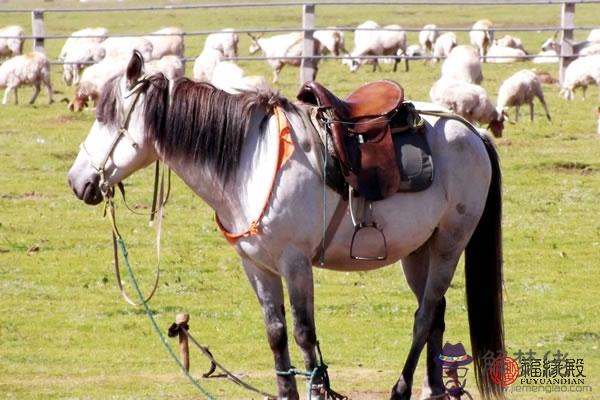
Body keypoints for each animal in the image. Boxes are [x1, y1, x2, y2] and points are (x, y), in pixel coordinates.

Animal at [68, 51, 504, 398]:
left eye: (107, 117)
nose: (77, 181)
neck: (252, 162)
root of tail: (469, 130)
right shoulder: (257, 266)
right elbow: (276, 333)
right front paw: (285, 391)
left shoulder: (295, 264)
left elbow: (304, 334)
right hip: (417, 251)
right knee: (436, 313)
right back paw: (433, 388)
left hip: (449, 244)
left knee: (425, 314)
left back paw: (401, 388)